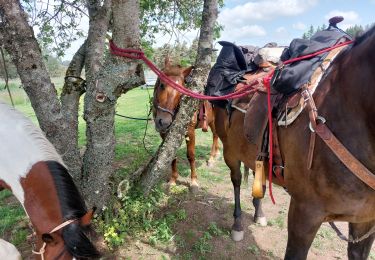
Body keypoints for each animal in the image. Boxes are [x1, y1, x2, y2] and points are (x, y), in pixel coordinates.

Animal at [152, 58, 219, 190]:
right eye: (162, 85)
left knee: (215, 136)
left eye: (181, 91)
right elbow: (171, 155)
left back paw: (211, 158)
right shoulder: (165, 134)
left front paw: (193, 181)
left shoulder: (190, 132)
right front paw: (173, 180)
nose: (163, 122)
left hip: (214, 121)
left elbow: (191, 156)